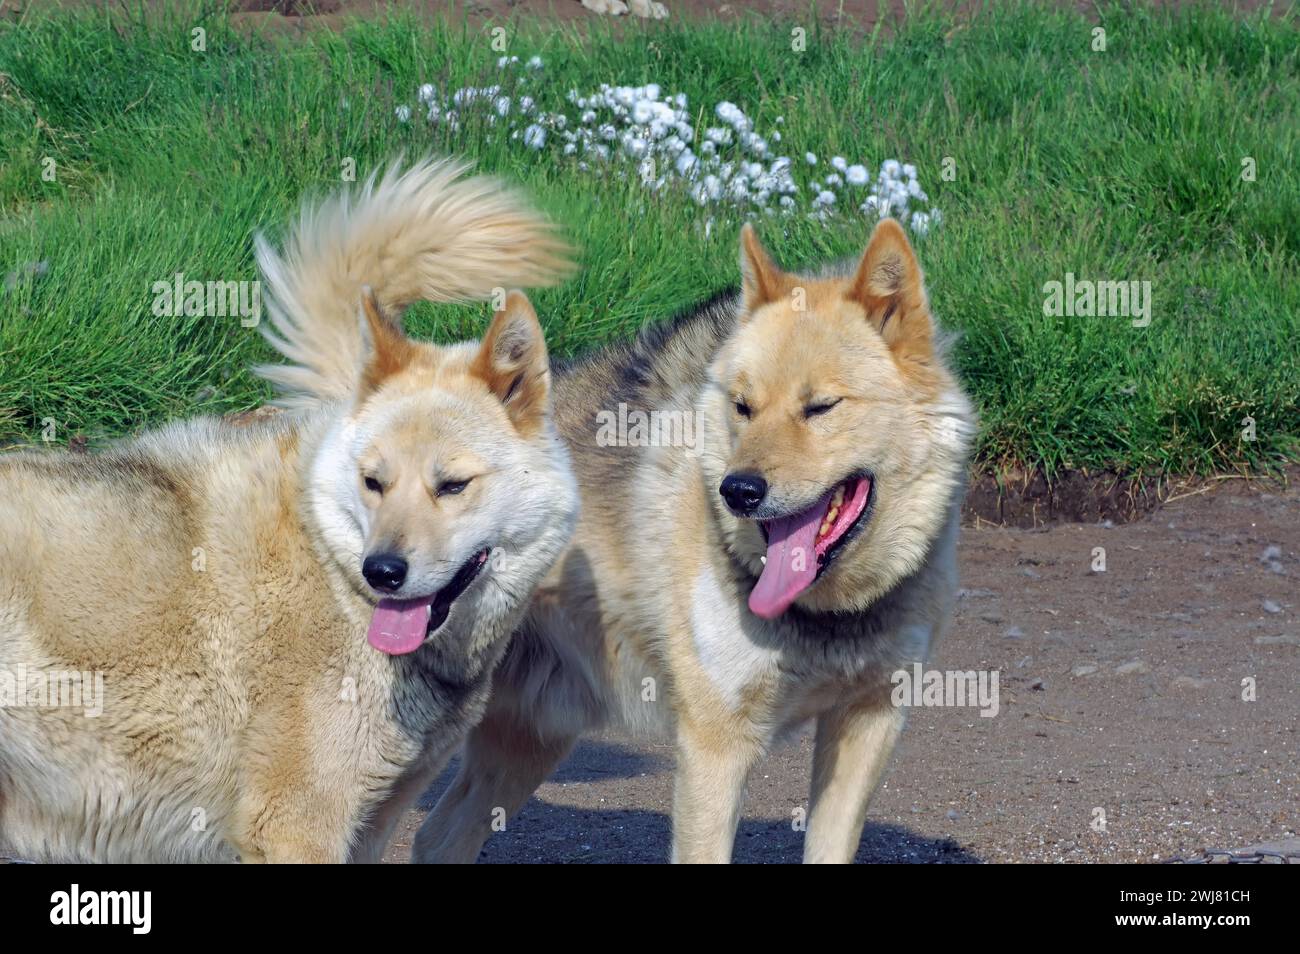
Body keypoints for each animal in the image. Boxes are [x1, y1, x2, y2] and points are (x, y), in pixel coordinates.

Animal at [0, 158, 579, 868]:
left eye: (451, 485)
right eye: (374, 482)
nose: (383, 572)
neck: (332, 572)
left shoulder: (375, 821)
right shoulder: (297, 829)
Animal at [416, 218, 977, 868]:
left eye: (820, 407)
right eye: (744, 407)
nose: (739, 491)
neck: (828, 615)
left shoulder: (867, 723)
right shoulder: (715, 749)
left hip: (532, 736)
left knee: (437, 836)